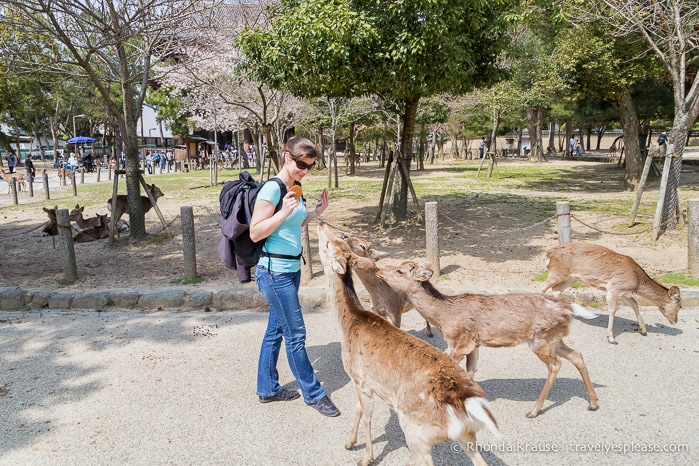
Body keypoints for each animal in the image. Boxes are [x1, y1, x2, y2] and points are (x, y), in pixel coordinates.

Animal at [374, 258, 600, 418]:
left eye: (400, 271)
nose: (378, 269)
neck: (444, 317)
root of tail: (569, 308)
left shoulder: (459, 341)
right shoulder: (474, 344)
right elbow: (470, 372)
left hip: (541, 339)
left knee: (555, 364)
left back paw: (534, 410)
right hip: (556, 338)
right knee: (577, 355)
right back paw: (593, 402)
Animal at [540, 242, 684, 344]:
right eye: (679, 306)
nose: (675, 321)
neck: (636, 280)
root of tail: (548, 253)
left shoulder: (625, 293)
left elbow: (635, 305)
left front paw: (643, 330)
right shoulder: (614, 288)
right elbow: (613, 310)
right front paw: (611, 338)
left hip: (570, 278)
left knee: (556, 290)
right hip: (557, 272)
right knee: (543, 288)